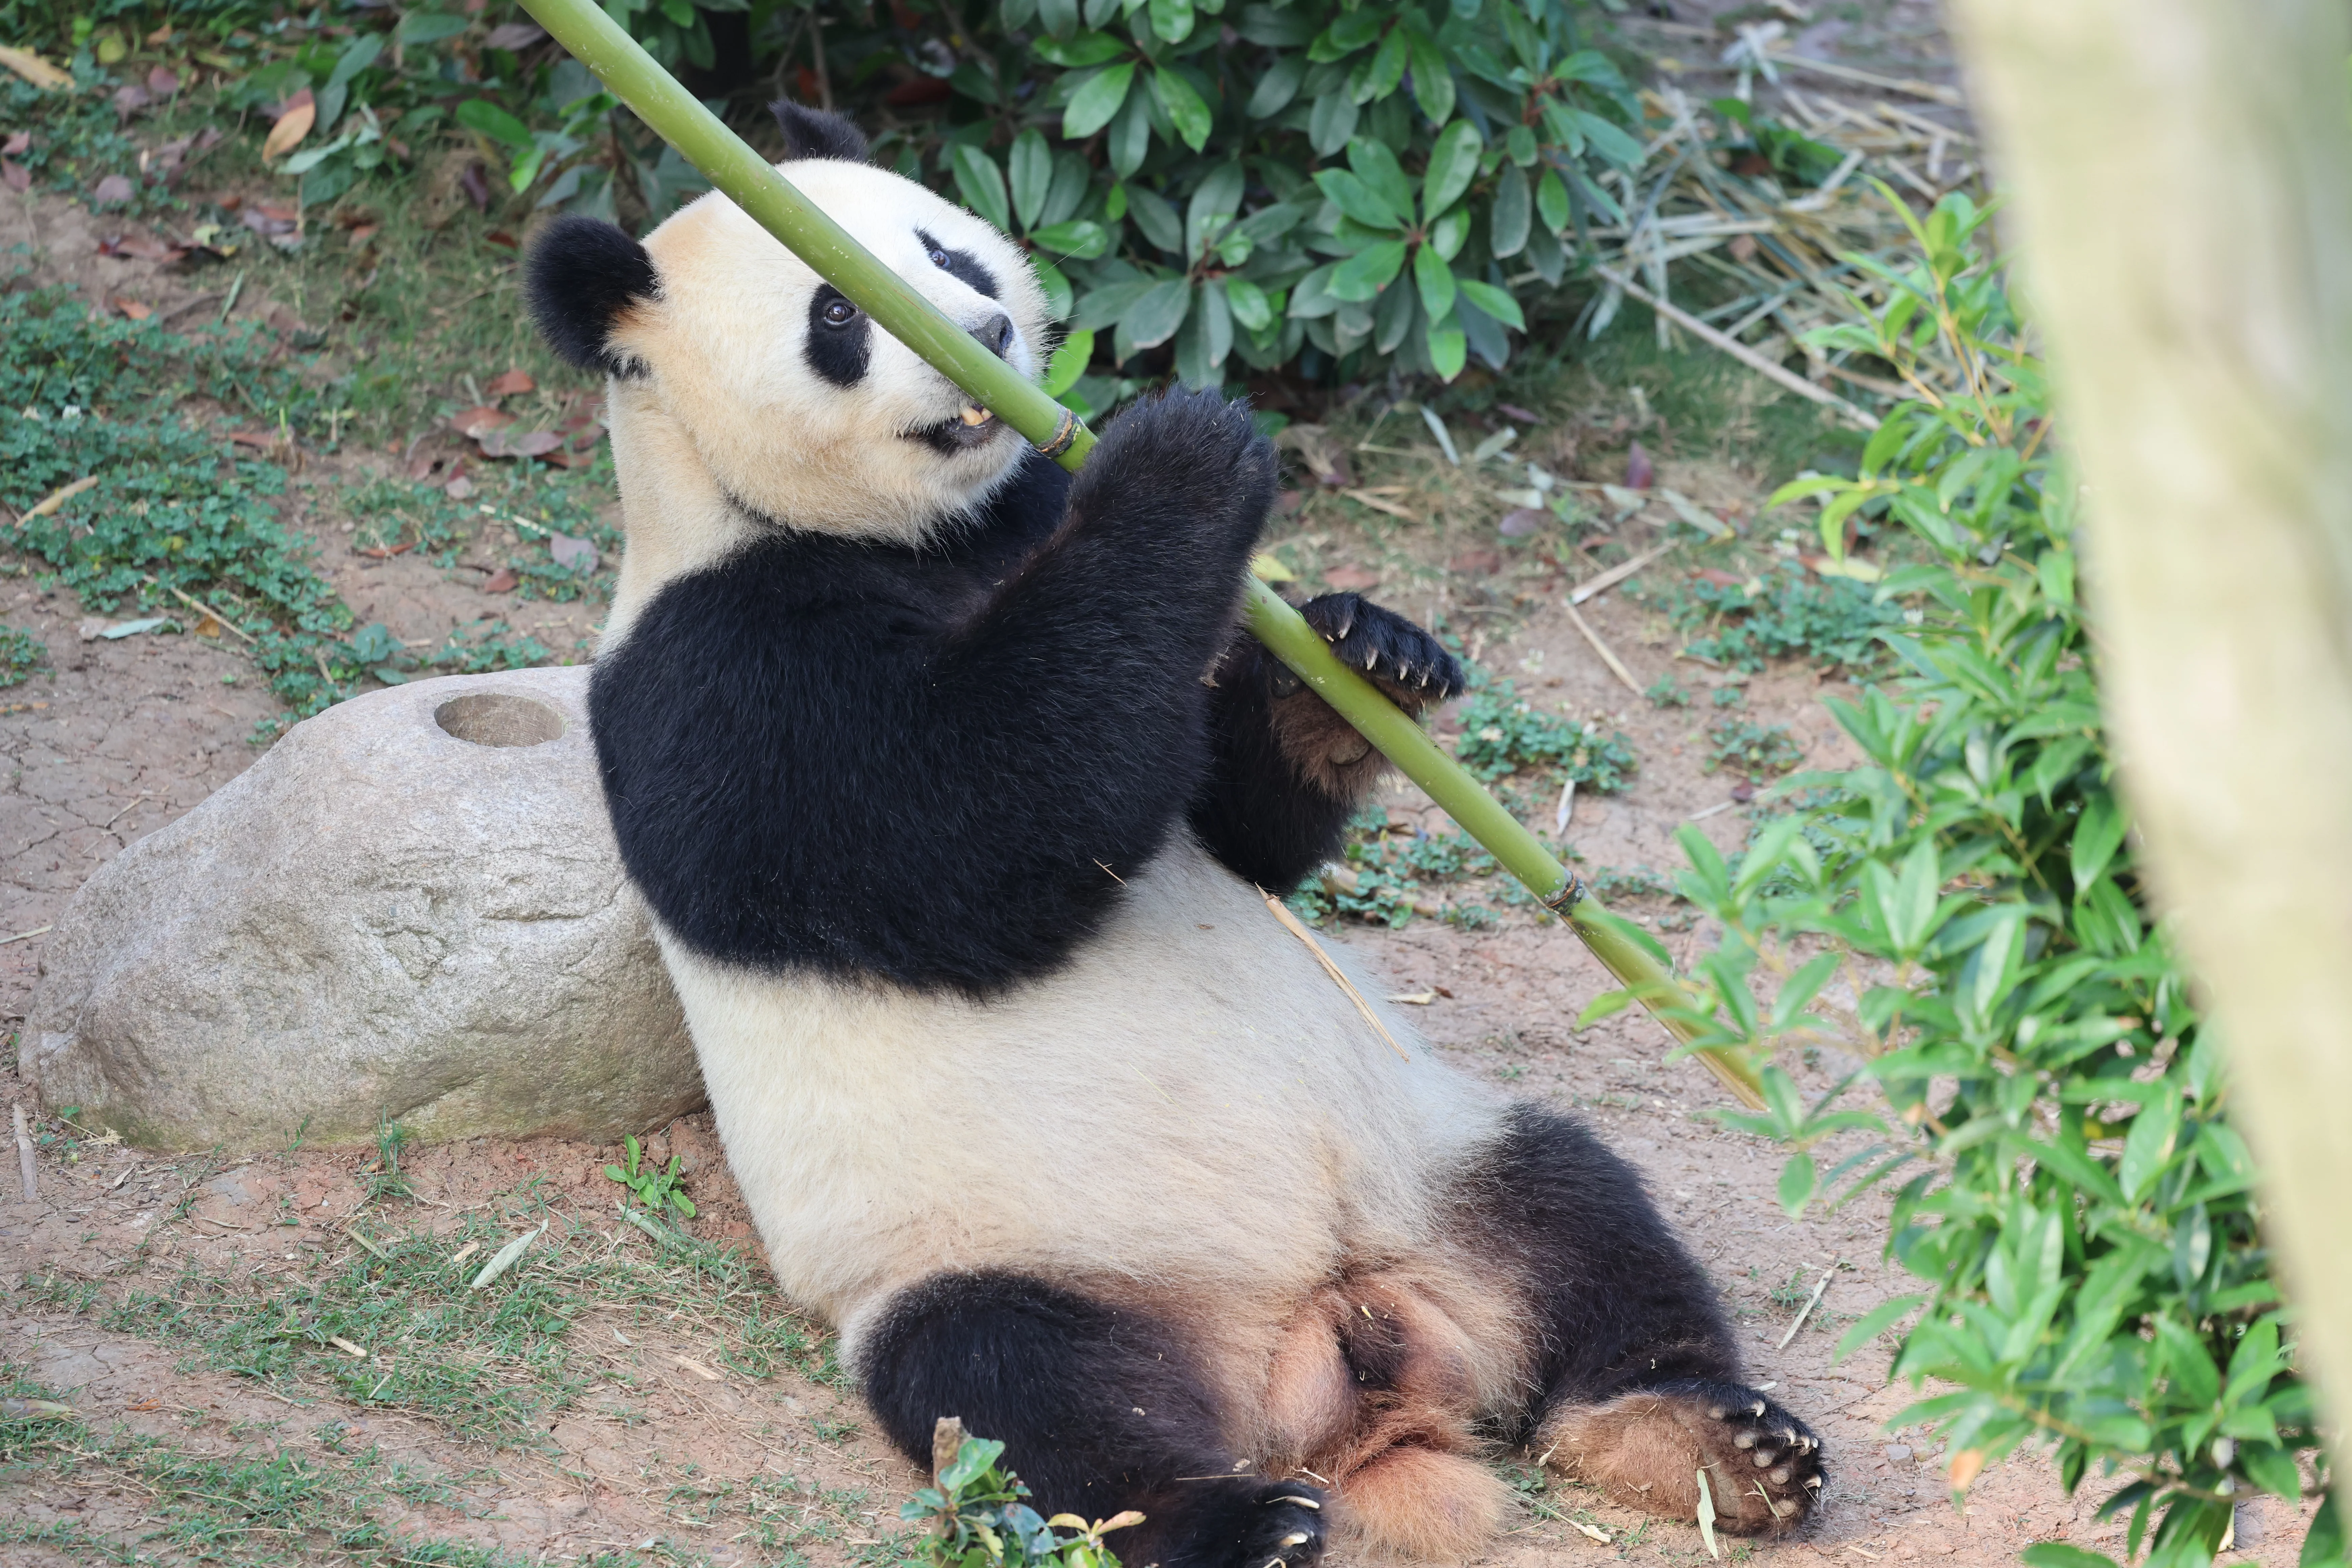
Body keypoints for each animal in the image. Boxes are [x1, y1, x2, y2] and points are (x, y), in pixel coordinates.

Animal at [524, 99, 1822, 1568]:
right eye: (839, 315)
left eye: (945, 249)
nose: (988, 327)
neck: (913, 537)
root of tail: (1345, 1361)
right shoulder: (723, 670)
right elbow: (976, 826)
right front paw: (1184, 451)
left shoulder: (1009, 526)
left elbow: (1234, 827)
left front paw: (1365, 651)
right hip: (1011, 1253)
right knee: (1022, 1392)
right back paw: (1244, 1518)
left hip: (1431, 1162)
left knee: (1581, 1218)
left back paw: (1706, 1439)